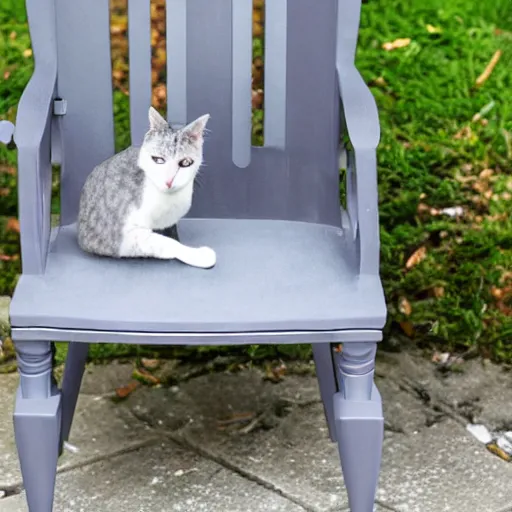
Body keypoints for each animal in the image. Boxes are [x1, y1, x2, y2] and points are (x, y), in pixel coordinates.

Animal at [77, 106, 215, 270]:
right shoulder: (117, 239)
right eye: (158, 160)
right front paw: (199, 255)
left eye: (185, 162)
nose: (169, 181)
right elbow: (163, 242)